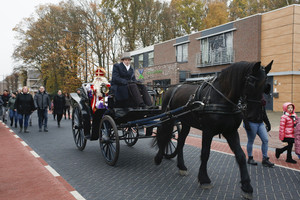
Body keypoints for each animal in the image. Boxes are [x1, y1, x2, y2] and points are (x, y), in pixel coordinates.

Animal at [155, 60, 272, 198]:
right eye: (251, 82)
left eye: (265, 85)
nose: (255, 116)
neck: (222, 98)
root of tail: (171, 88)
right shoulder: (208, 131)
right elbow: (205, 153)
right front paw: (204, 179)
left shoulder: (231, 132)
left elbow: (241, 156)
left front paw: (247, 186)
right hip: (167, 119)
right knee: (164, 136)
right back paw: (158, 158)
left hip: (186, 123)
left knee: (180, 142)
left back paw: (182, 166)